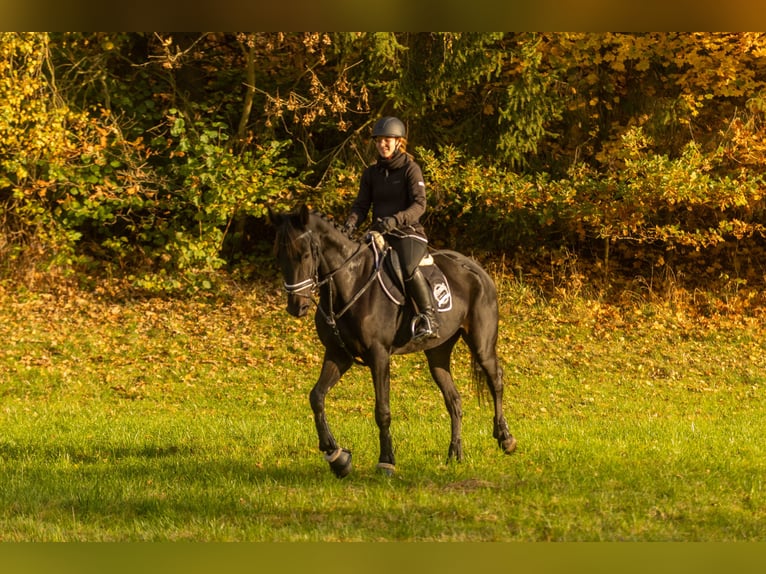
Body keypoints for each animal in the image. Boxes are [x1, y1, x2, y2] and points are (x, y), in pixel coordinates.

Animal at [270, 205, 516, 480]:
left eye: (303, 255)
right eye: (279, 255)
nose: (296, 306)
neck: (351, 282)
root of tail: (477, 270)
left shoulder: (379, 355)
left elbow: (382, 410)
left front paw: (386, 461)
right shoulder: (338, 354)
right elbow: (317, 397)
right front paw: (337, 457)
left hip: (482, 344)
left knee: (496, 380)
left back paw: (505, 438)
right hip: (437, 354)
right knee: (454, 400)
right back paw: (455, 454)